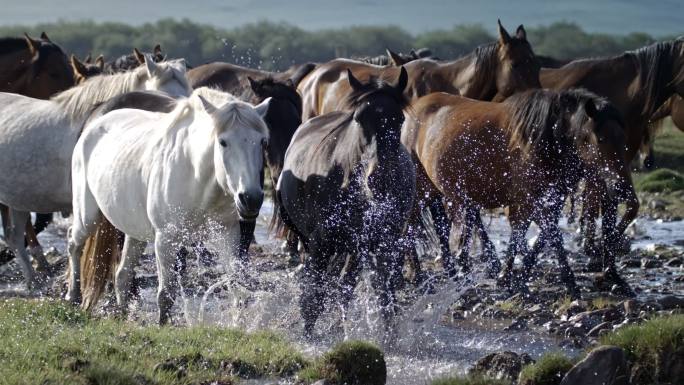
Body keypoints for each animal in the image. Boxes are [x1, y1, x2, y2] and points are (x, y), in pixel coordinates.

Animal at [69, 88, 270, 324]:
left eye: (262, 142)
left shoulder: (227, 233)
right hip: (87, 216)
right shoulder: (166, 239)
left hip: (135, 232)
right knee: (74, 244)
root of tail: (93, 124)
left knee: (122, 275)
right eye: (223, 142)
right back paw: (72, 297)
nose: (251, 199)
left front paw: (238, 323)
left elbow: (236, 287)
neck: (197, 178)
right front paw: (163, 325)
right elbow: (166, 294)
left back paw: (123, 315)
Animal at [276, 68, 414, 336]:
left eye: (400, 119)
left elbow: (384, 298)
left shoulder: (383, 244)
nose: (379, 179)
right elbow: (313, 297)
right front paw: (308, 335)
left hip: (355, 248)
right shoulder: (320, 243)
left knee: (345, 286)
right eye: (359, 118)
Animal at [406, 89, 636, 294]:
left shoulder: (552, 200)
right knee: (410, 226)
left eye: (623, 139)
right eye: (599, 139)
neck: (543, 141)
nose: (621, 187)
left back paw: (455, 271)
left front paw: (523, 275)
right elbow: (529, 232)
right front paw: (510, 277)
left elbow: (545, 234)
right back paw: (418, 276)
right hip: (421, 191)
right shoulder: (526, 200)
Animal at [540, 37, 684, 268]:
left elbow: (624, 203)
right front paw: (594, 246)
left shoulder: (618, 162)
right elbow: (595, 204)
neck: (625, 93)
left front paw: (603, 247)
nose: (649, 161)